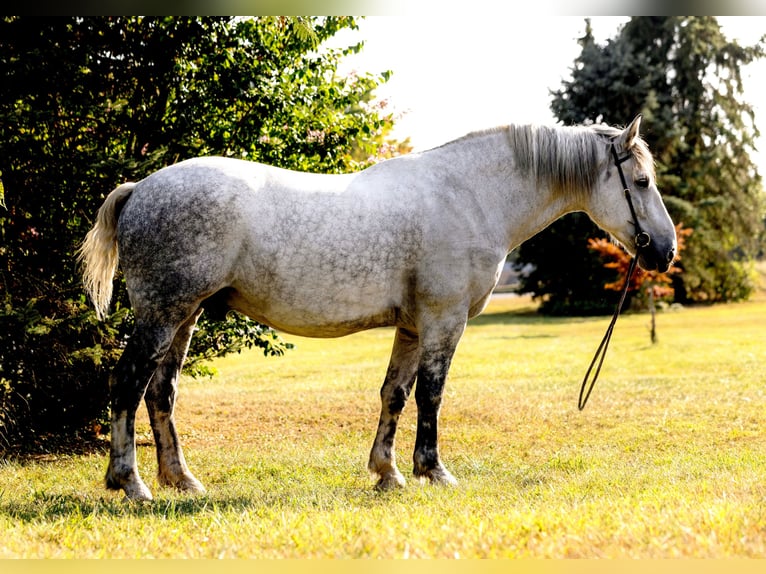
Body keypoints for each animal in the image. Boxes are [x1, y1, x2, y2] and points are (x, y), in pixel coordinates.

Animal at [79, 115, 680, 502]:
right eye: (642, 181)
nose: (666, 250)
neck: (468, 196)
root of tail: (141, 188)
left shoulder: (412, 327)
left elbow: (395, 393)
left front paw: (387, 472)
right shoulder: (443, 321)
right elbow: (432, 395)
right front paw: (433, 471)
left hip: (185, 314)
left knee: (161, 392)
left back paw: (181, 480)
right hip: (162, 313)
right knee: (127, 383)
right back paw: (131, 484)